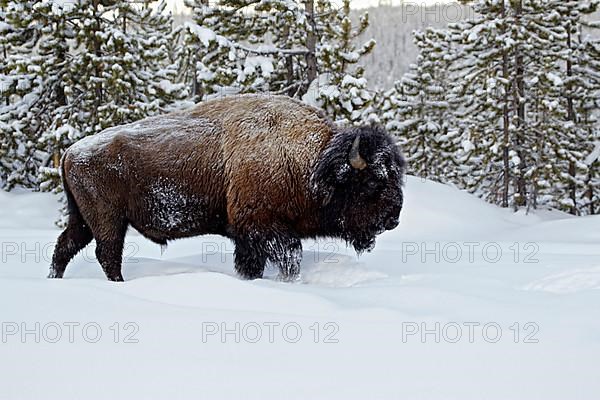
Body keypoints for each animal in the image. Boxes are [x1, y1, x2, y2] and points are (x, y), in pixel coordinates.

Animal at [49, 94, 406, 282]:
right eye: (373, 181)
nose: (393, 218)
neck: (310, 161)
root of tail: (70, 152)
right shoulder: (263, 228)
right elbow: (290, 257)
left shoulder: (248, 236)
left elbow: (251, 264)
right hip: (109, 221)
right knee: (107, 254)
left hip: (84, 220)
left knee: (66, 247)